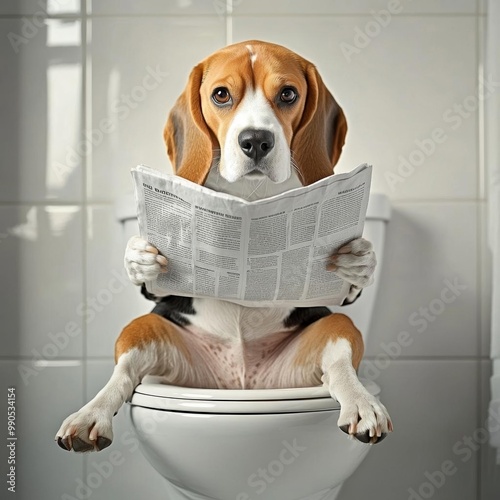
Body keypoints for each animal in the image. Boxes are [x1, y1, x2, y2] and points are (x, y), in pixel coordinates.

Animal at [54, 40, 390, 454]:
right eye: (221, 94)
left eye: (288, 94)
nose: (256, 140)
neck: (250, 193)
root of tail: (240, 381)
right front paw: (139, 258)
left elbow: (351, 282)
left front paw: (359, 260)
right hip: (146, 331)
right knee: (124, 372)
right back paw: (90, 416)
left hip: (332, 332)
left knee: (340, 364)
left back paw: (362, 404)